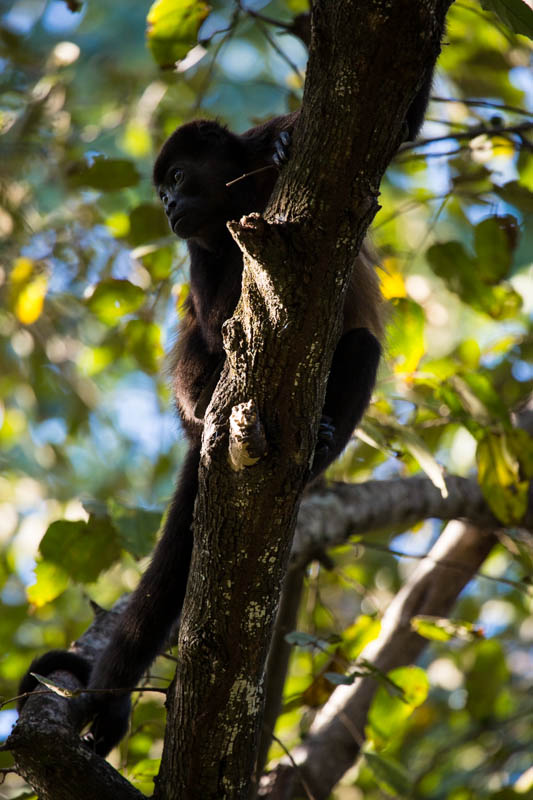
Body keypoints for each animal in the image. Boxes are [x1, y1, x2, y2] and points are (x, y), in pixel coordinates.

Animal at [18, 75, 432, 756]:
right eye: (160, 189)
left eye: (177, 177)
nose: (165, 203)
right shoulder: (200, 251)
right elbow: (214, 326)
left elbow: (401, 124)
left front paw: (290, 144)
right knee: (199, 346)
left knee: (361, 347)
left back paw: (319, 441)